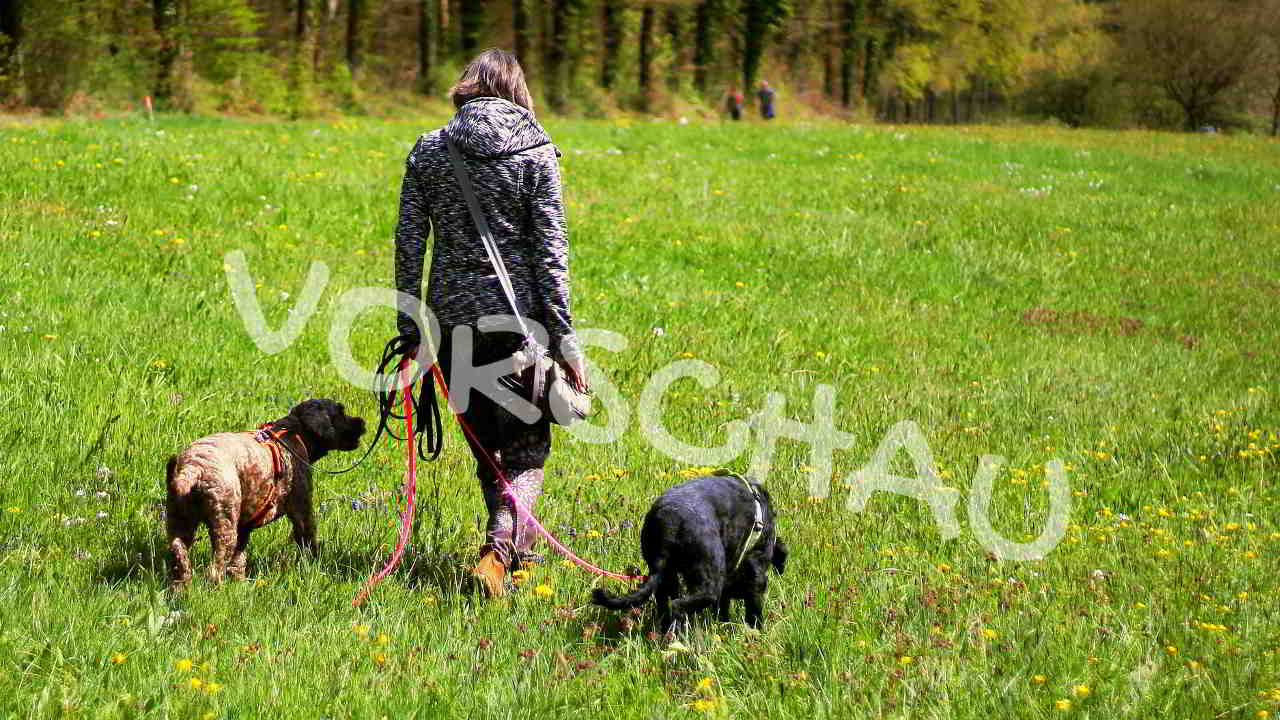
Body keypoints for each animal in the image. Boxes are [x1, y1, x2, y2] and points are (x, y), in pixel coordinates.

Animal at [163, 394, 366, 586]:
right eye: (341, 412)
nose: (362, 422)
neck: (294, 432)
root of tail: (194, 468)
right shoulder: (302, 511)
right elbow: (309, 543)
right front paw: (314, 566)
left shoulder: (245, 525)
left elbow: (239, 560)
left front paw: (239, 582)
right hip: (224, 524)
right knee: (214, 570)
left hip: (180, 522)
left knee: (180, 557)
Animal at [591, 474, 788, 630]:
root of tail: (669, 523)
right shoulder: (756, 576)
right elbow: (753, 610)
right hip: (710, 582)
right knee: (678, 606)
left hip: (667, 577)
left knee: (666, 606)